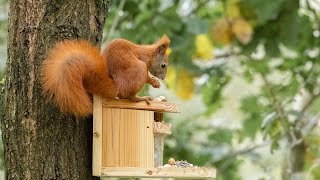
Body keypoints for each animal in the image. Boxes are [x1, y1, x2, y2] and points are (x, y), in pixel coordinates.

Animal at [41, 35, 170, 116]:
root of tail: (118, 86)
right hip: (139, 70)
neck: (149, 55)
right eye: (163, 65)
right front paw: (154, 82)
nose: (163, 78)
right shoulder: (144, 61)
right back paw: (141, 98)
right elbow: (147, 78)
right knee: (127, 96)